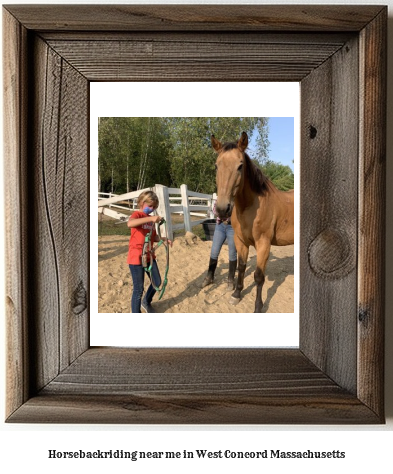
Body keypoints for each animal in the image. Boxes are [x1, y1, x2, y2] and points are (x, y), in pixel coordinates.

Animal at [211, 131, 290, 312]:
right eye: (217, 166)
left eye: (240, 166)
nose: (222, 209)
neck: (251, 207)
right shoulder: (240, 241)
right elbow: (241, 267)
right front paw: (236, 294)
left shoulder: (263, 244)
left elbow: (259, 276)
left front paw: (258, 307)